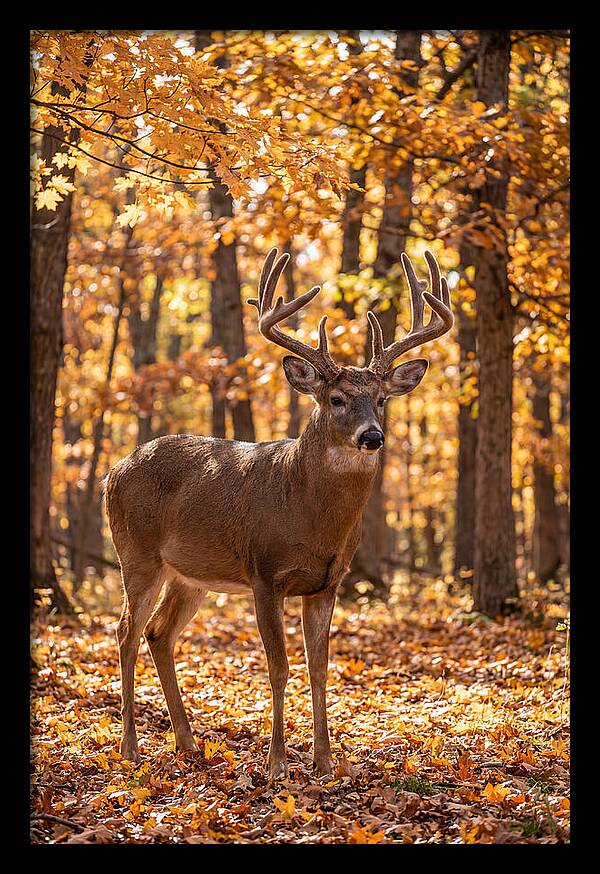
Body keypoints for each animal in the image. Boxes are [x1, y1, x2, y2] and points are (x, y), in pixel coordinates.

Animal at [105, 247, 453, 782]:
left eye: (381, 399)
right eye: (336, 399)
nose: (372, 436)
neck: (308, 515)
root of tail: (112, 471)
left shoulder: (328, 582)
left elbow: (319, 667)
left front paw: (326, 762)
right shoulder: (264, 572)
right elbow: (279, 666)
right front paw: (277, 764)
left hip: (190, 574)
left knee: (158, 634)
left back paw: (187, 744)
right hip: (137, 554)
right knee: (126, 632)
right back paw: (130, 748)